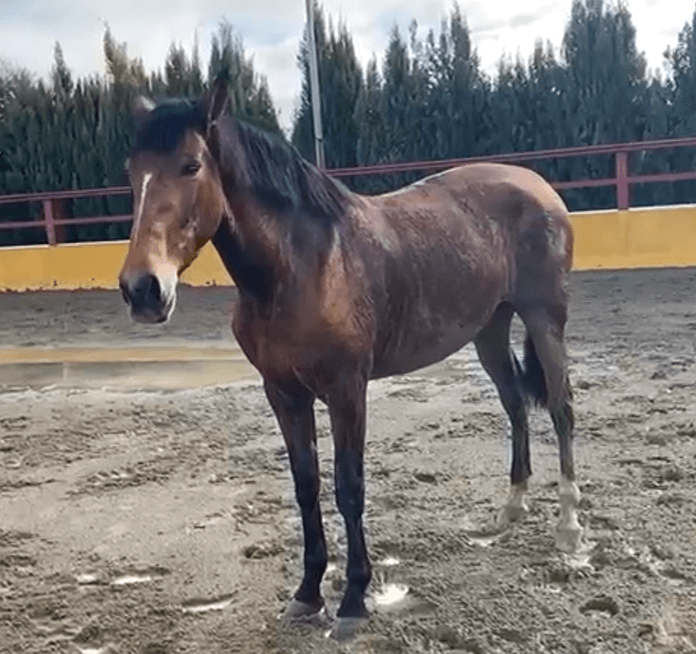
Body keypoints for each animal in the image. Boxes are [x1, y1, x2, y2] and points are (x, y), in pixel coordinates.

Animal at [118, 75, 583, 640]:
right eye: (132, 173)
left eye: (191, 165)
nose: (142, 289)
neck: (301, 267)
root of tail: (536, 184)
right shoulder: (283, 393)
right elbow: (306, 485)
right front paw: (307, 593)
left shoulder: (346, 389)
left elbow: (349, 486)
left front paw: (354, 600)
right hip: (489, 327)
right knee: (515, 404)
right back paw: (512, 508)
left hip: (544, 319)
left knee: (560, 409)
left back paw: (569, 526)